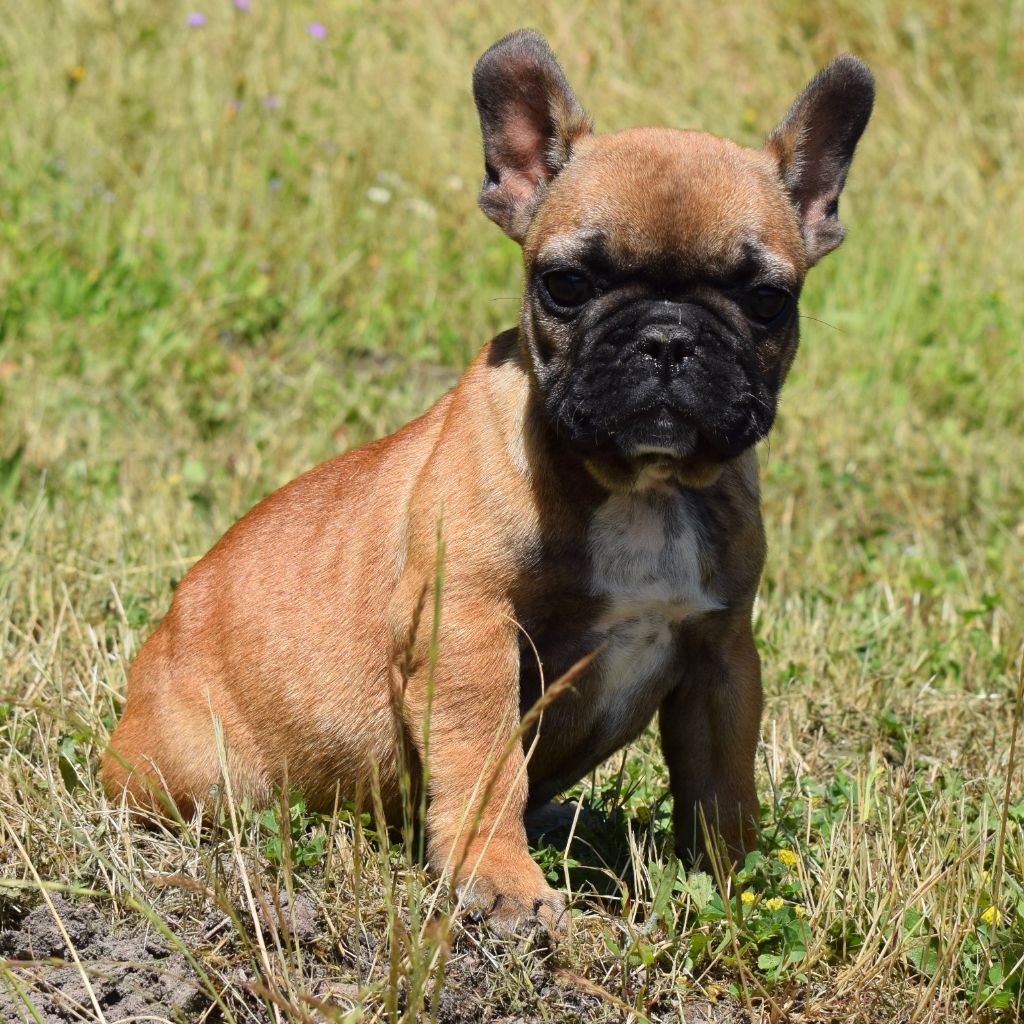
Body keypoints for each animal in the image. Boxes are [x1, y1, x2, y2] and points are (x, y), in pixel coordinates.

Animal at [101, 32, 872, 933]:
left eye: (767, 300)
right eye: (566, 284)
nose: (667, 337)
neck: (639, 487)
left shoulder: (722, 656)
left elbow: (722, 789)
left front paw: (740, 884)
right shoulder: (468, 631)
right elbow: (486, 764)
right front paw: (502, 879)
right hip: (199, 772)